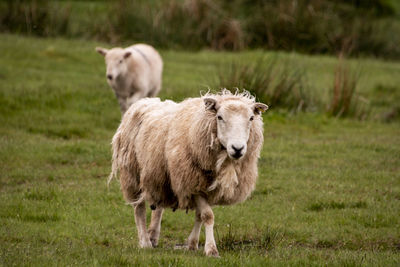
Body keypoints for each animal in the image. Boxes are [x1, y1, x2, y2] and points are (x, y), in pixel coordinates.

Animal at [108, 90, 268, 258]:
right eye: (219, 117)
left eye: (251, 118)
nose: (238, 148)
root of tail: (143, 102)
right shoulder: (191, 183)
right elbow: (207, 215)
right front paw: (211, 249)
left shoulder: (206, 187)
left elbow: (199, 215)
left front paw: (192, 243)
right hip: (133, 173)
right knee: (138, 208)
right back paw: (145, 242)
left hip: (159, 177)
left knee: (158, 207)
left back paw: (153, 236)